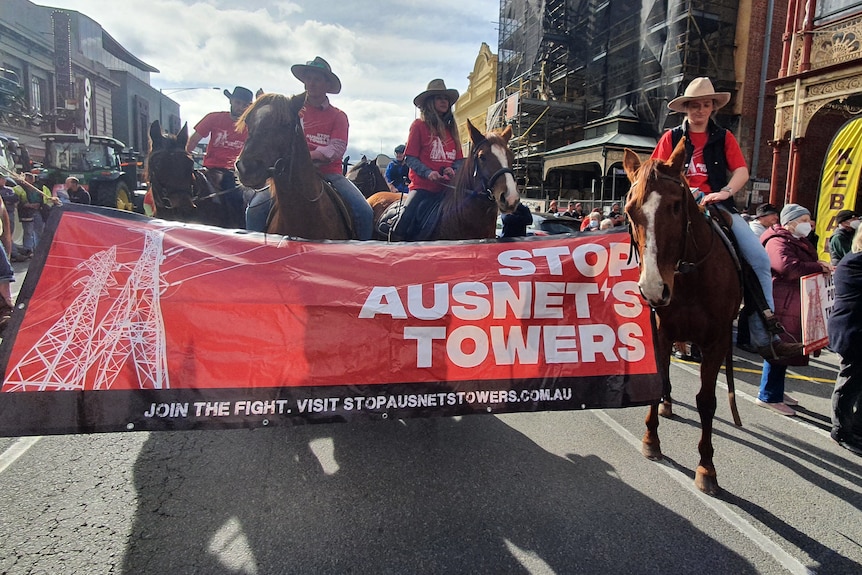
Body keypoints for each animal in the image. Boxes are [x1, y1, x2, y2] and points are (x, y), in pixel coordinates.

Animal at [624, 138, 744, 496]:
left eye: (677, 206)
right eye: (630, 210)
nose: (653, 288)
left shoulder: (717, 342)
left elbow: (707, 401)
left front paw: (707, 468)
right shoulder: (661, 331)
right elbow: (660, 380)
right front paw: (651, 439)